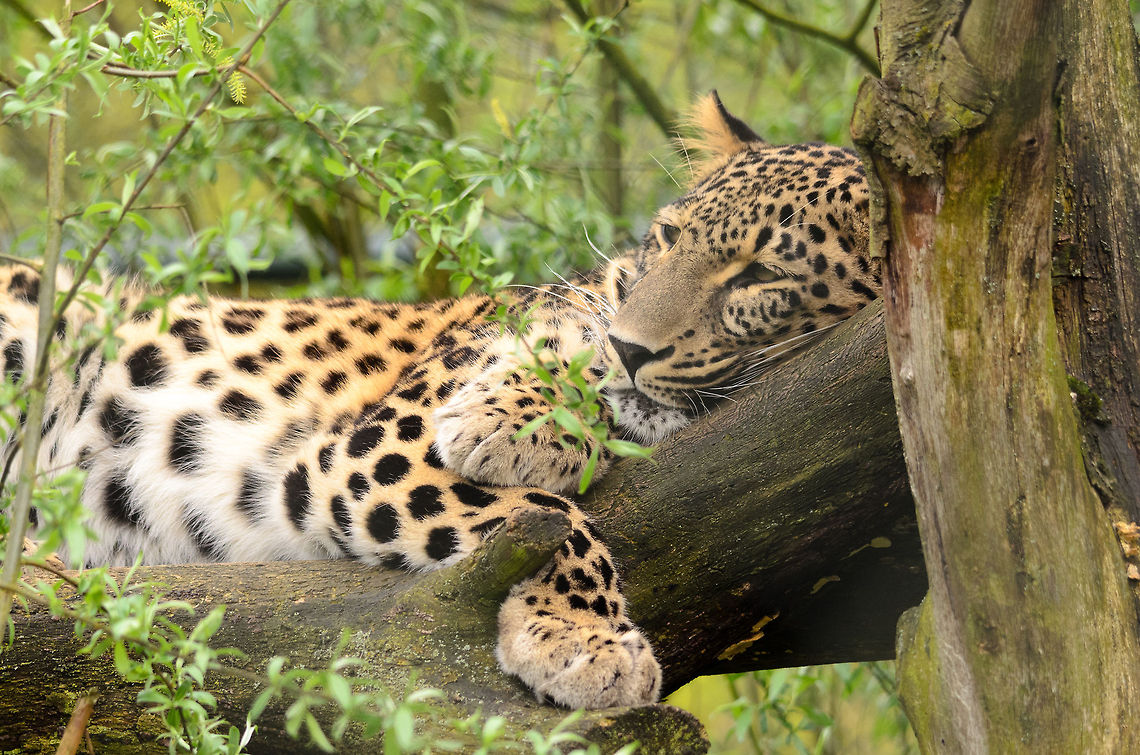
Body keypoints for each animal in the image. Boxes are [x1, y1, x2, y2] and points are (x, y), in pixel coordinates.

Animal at [0, 93, 876, 710]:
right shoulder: (375, 444)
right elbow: (551, 513)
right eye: (666, 240)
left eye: (761, 276)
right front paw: (585, 633)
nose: (633, 347)